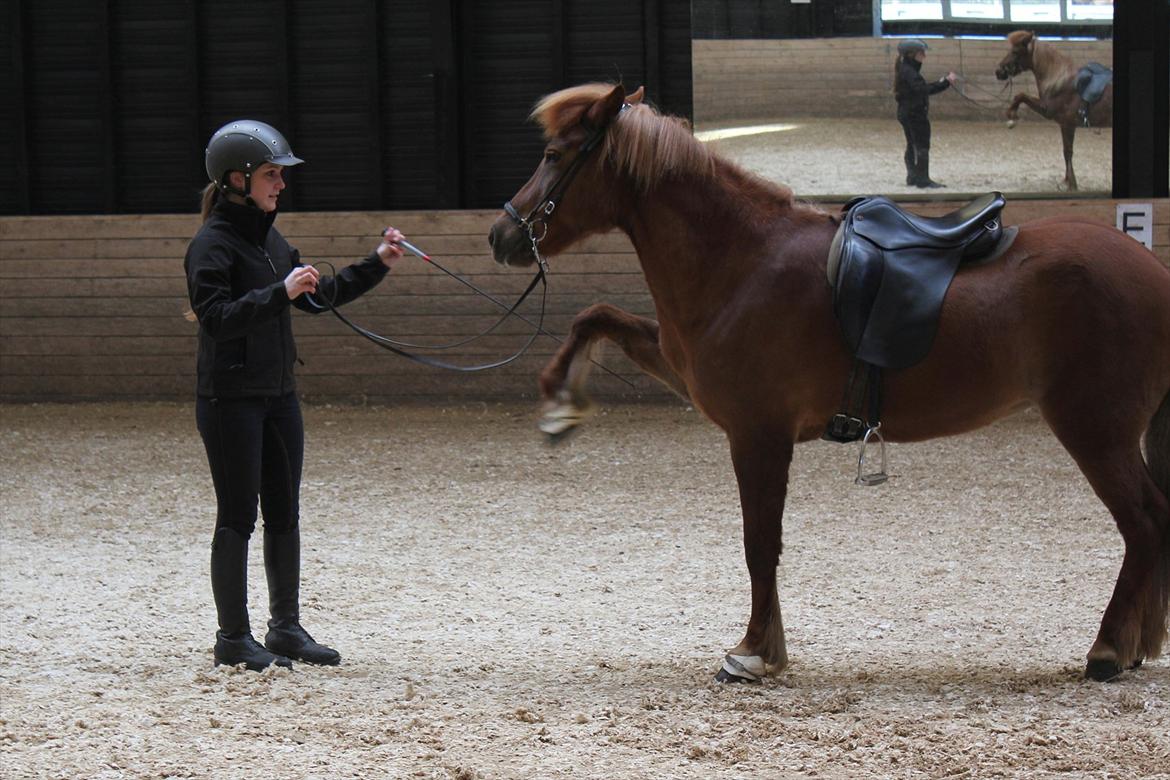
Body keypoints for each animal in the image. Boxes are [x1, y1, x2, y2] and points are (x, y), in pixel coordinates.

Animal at [489, 82, 1170, 687]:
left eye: (555, 156)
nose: (502, 235)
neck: (742, 260)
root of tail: (1154, 271)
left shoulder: (757, 435)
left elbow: (760, 542)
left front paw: (753, 653)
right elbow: (596, 316)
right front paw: (560, 407)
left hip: (1094, 430)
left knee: (1143, 521)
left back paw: (1109, 650)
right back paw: (1140, 643)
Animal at [996, 30, 1113, 190]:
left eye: (1014, 51)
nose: (998, 71)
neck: (1059, 80)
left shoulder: (1063, 122)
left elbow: (1068, 152)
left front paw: (1072, 184)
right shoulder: (1061, 121)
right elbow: (1066, 152)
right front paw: (1067, 181)